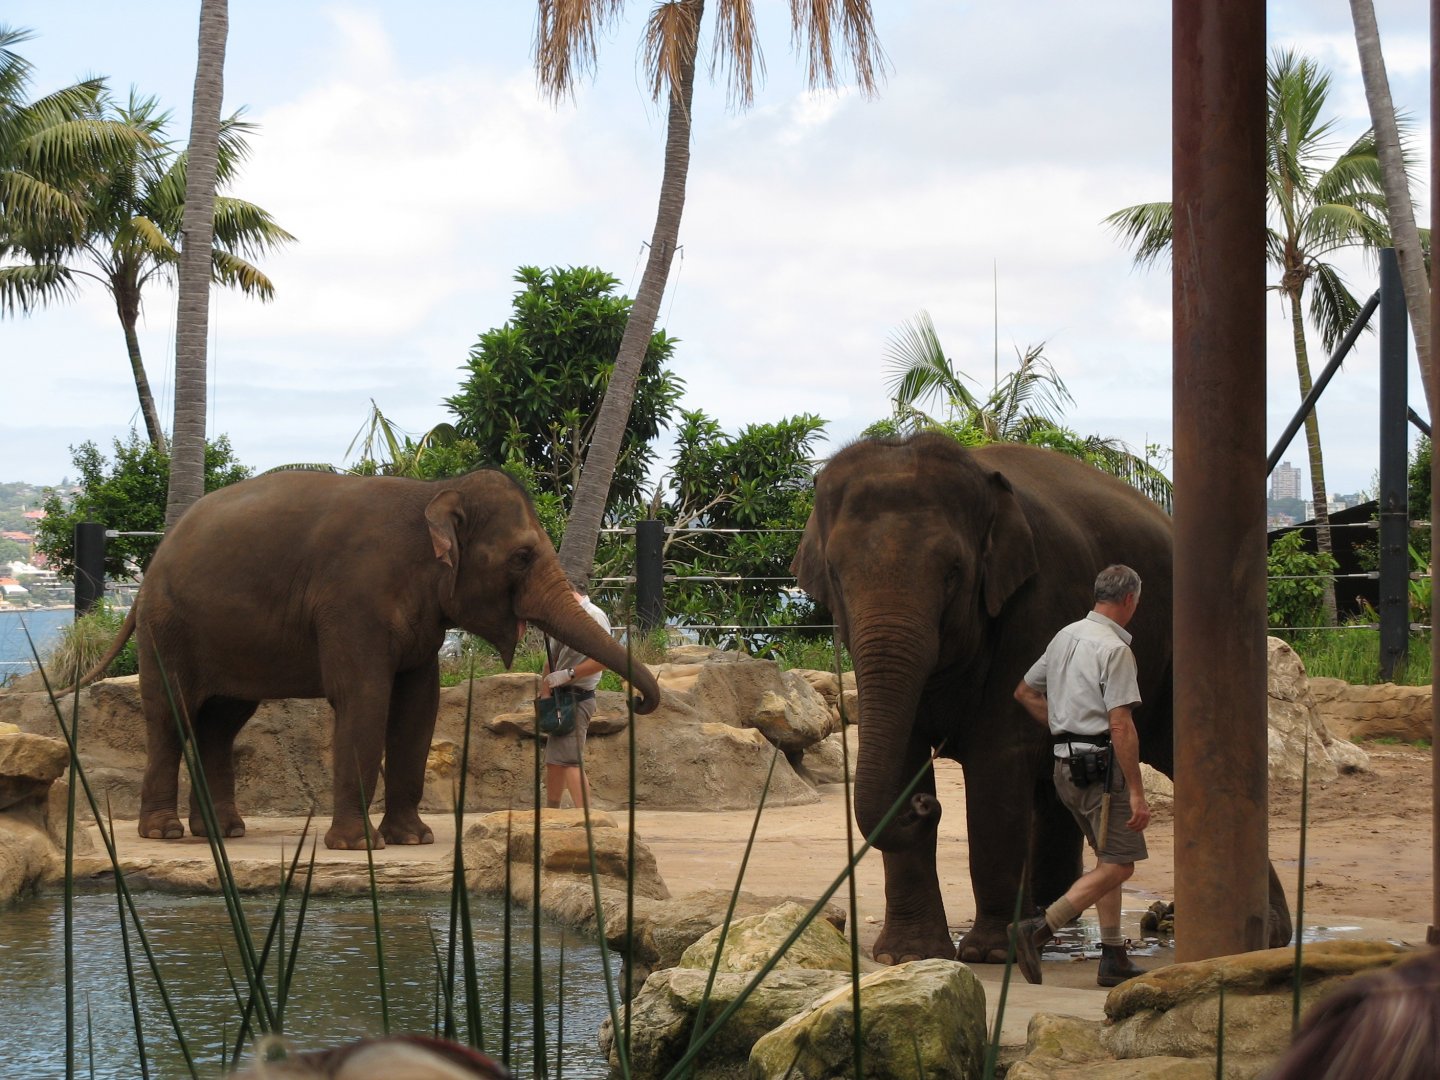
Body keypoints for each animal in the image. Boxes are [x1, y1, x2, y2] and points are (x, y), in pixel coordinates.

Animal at [80, 468, 661, 850]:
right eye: (521, 556)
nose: (638, 701)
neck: (432, 494)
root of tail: (152, 563)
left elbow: (418, 707)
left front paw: (413, 840)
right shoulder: (351, 600)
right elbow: (364, 698)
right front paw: (360, 847)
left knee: (221, 722)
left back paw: (224, 833)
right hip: (167, 627)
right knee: (171, 714)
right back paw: (165, 833)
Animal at [791, 433, 1290, 964]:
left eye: (953, 573)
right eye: (836, 575)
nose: (927, 806)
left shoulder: (1038, 601)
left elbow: (997, 759)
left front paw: (989, 955)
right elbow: (905, 758)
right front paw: (907, 957)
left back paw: (1266, 934)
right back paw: (1048, 918)